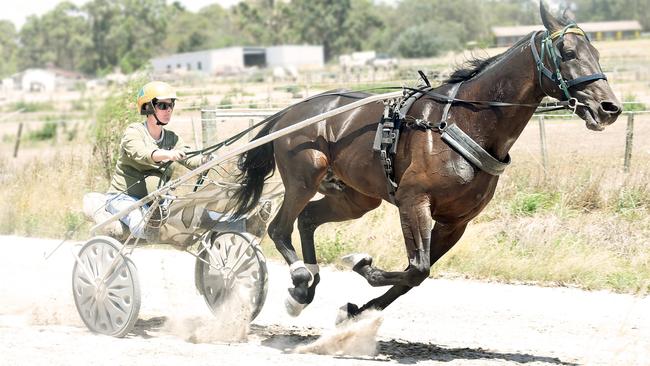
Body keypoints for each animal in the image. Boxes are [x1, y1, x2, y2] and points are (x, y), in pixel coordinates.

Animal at [228, 1, 616, 318]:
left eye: (597, 51)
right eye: (568, 52)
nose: (609, 107)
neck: (463, 122)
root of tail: (289, 112)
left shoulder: (455, 222)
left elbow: (414, 276)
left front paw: (359, 310)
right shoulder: (413, 201)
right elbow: (417, 267)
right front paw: (361, 264)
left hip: (356, 197)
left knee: (307, 219)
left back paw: (307, 284)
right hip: (304, 177)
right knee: (280, 228)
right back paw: (299, 279)